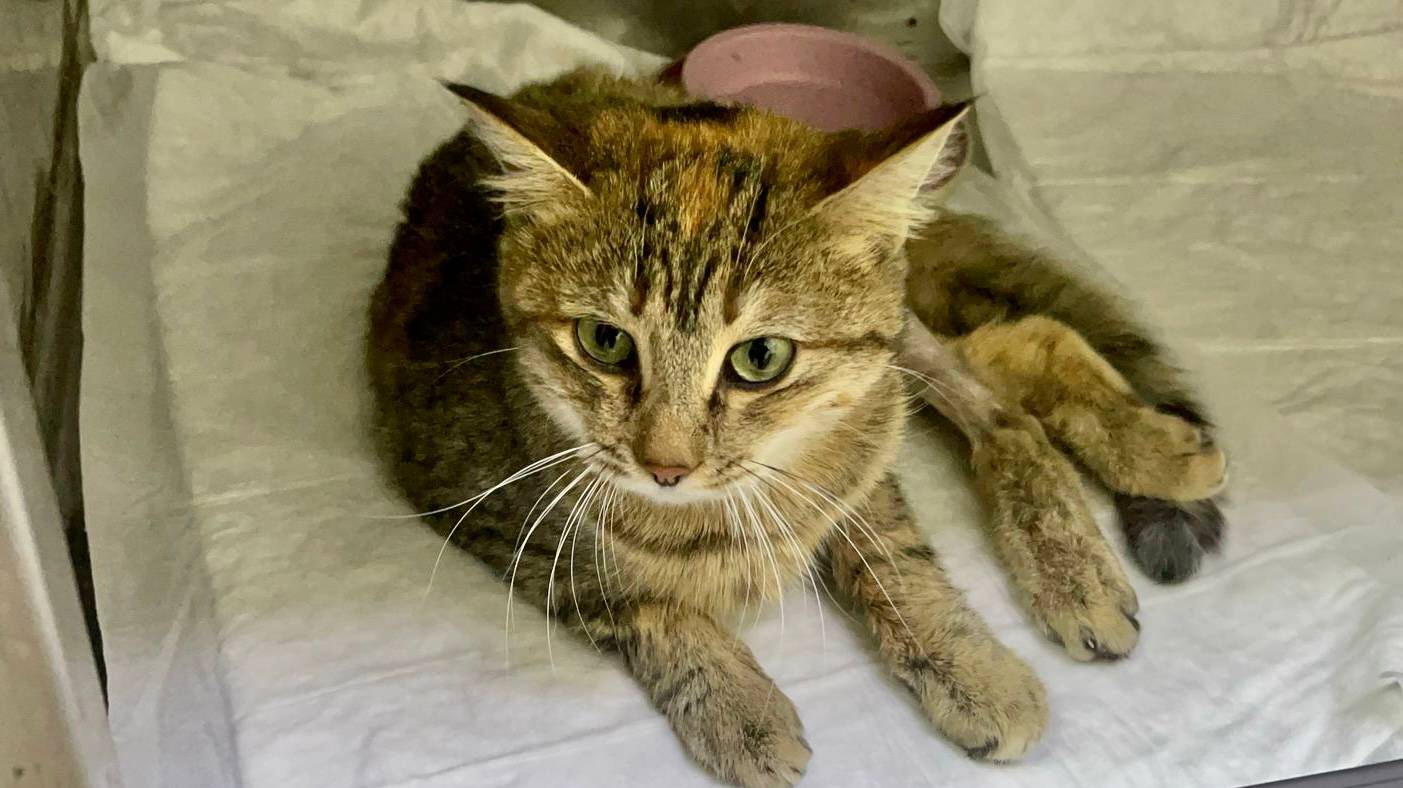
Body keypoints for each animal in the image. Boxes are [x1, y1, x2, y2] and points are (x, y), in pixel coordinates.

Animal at [367, 67, 1227, 787]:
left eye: (760, 357)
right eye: (604, 340)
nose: (666, 465)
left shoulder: (861, 440)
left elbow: (893, 554)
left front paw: (965, 662)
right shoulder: (485, 511)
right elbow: (640, 605)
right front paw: (737, 709)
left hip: (896, 341)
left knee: (1003, 395)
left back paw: (1127, 494)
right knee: (1011, 355)